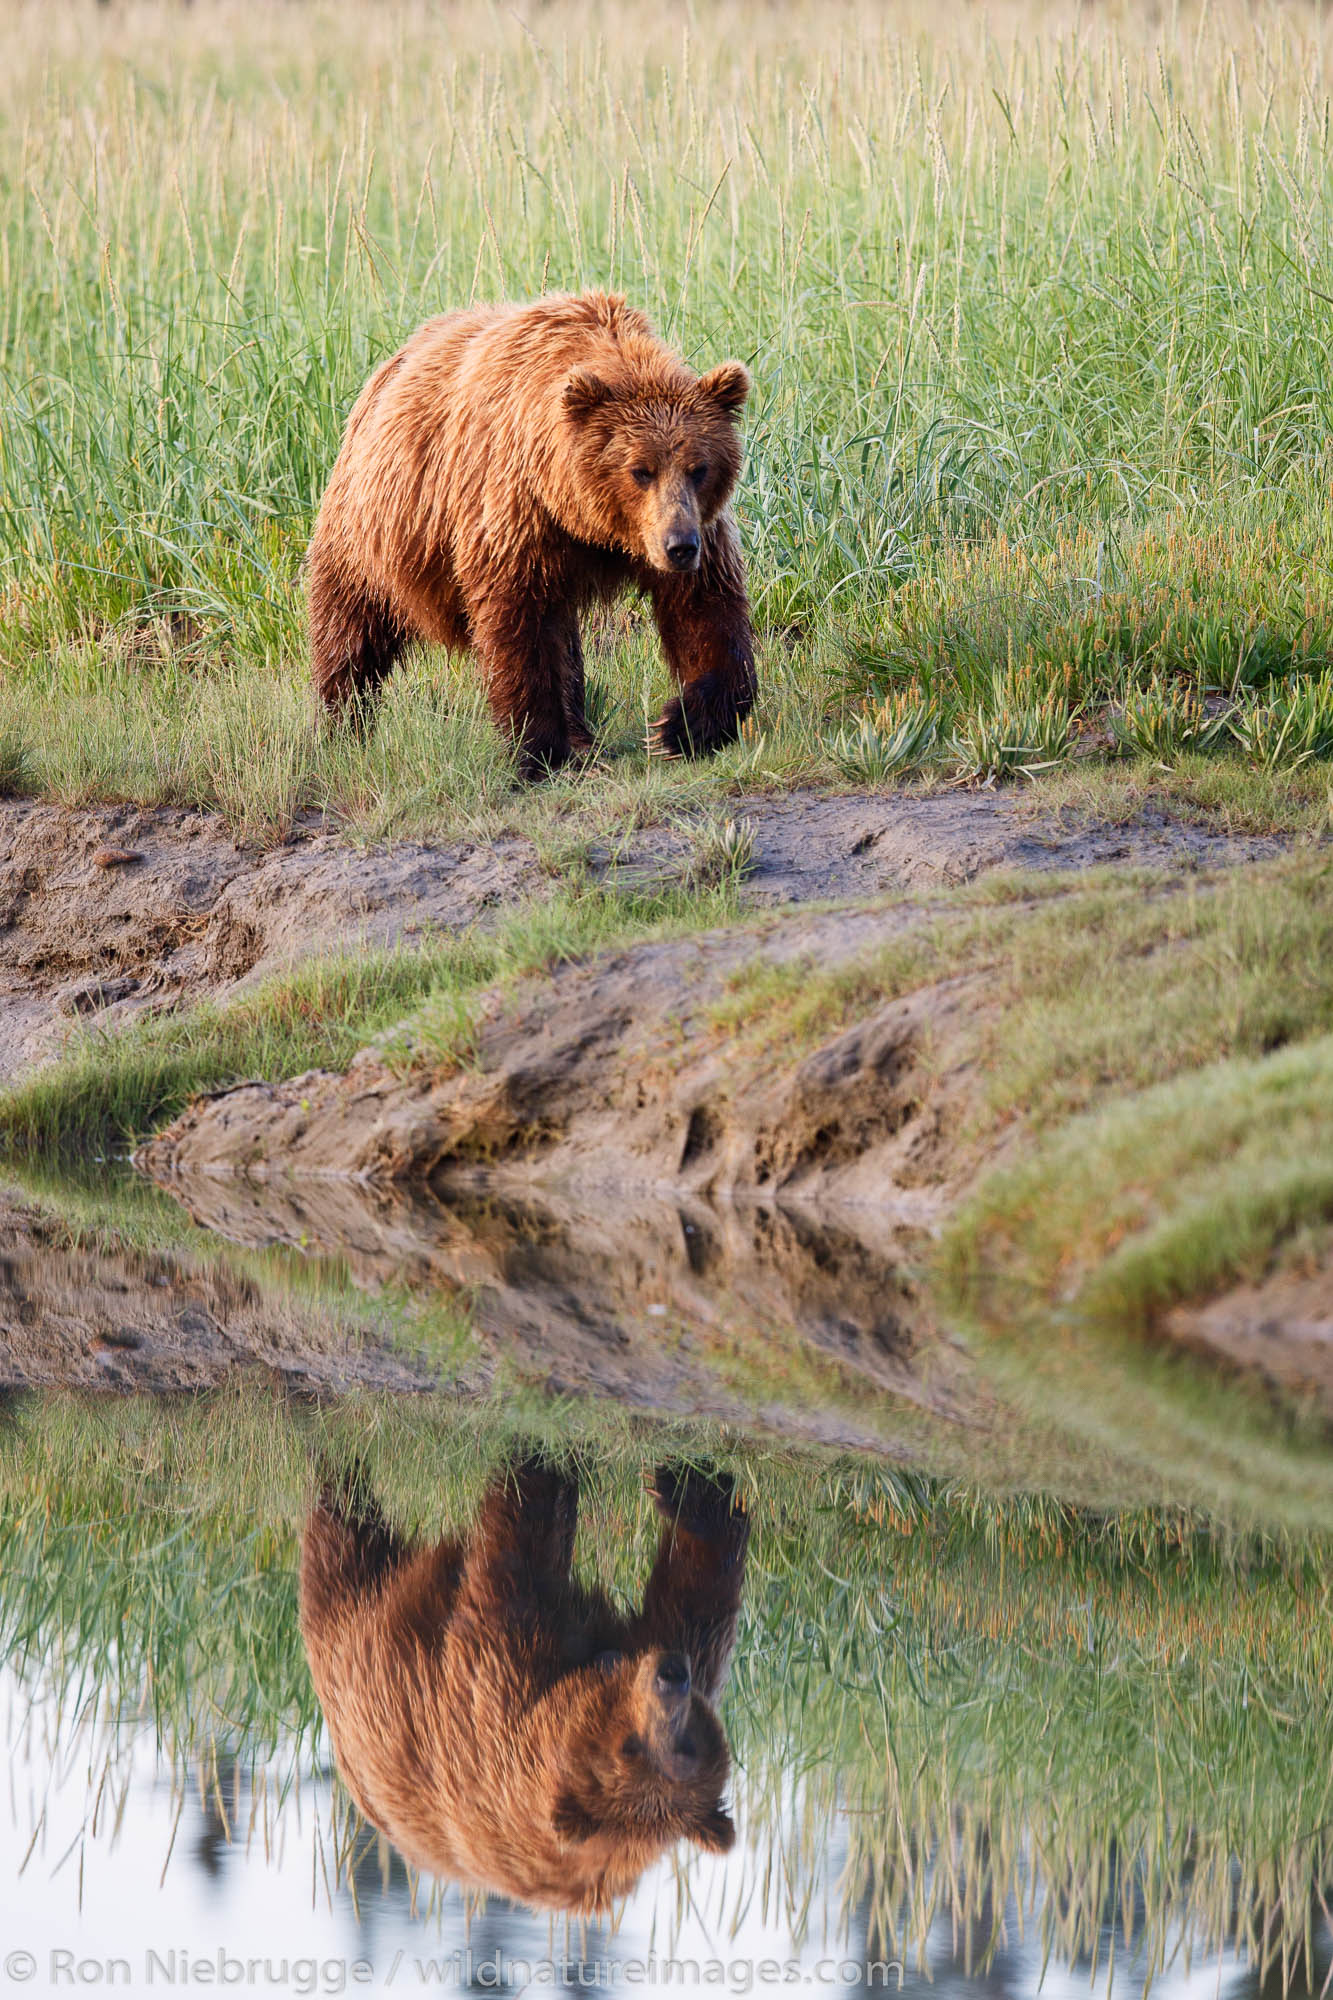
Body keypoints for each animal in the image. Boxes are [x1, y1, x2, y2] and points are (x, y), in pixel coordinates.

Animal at [300, 1456, 752, 1904]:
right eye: (635, 1746)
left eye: (673, 1749)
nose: (669, 1676)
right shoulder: (672, 1651)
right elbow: (695, 1596)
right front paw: (694, 1495)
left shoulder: (494, 1699)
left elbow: (512, 1554)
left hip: (354, 1627)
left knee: (341, 1546)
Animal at [304, 292, 752, 776]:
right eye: (640, 470)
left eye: (699, 468)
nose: (679, 547)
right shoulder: (516, 511)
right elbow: (519, 625)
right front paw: (541, 752)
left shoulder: (692, 527)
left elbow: (705, 610)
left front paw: (680, 727)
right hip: (370, 528)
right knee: (350, 628)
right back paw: (340, 726)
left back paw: (583, 733)